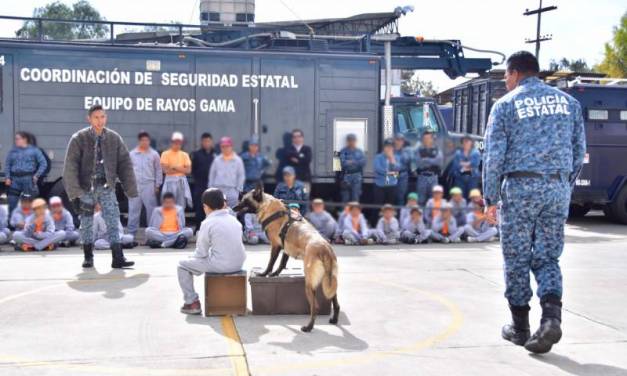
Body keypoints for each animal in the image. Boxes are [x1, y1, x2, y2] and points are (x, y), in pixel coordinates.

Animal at [234, 186, 340, 332]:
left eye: (245, 200)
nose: (233, 207)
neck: (268, 206)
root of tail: (324, 249)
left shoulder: (275, 246)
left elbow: (271, 263)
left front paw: (264, 274)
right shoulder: (286, 249)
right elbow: (281, 264)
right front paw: (274, 274)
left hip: (309, 283)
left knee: (315, 307)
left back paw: (308, 327)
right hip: (328, 281)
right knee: (335, 301)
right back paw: (334, 319)